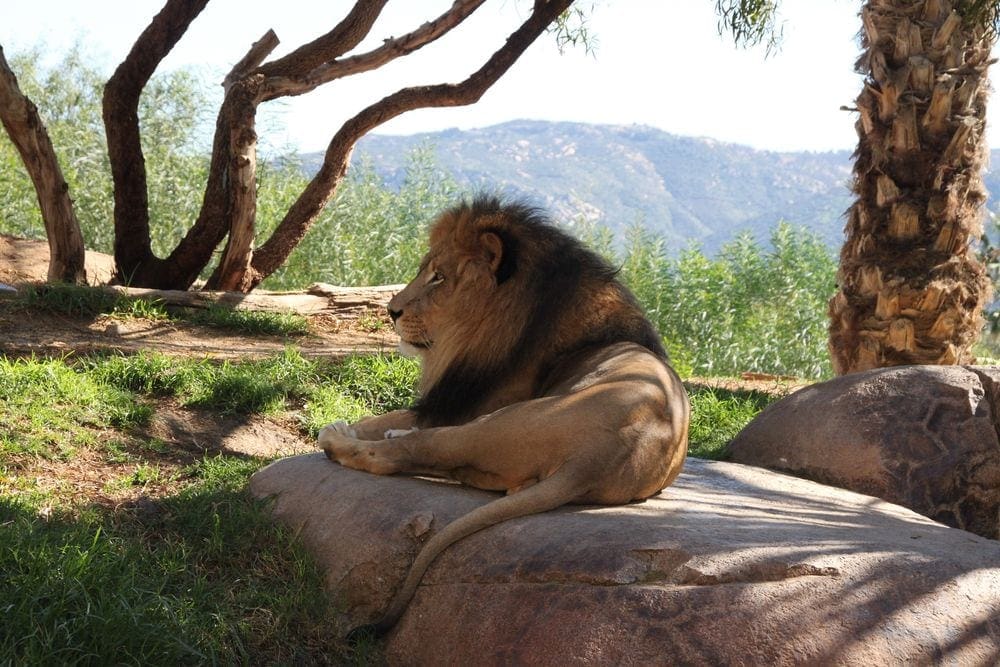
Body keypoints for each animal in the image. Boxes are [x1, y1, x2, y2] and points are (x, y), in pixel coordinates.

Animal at [318, 196, 688, 636]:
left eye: (438, 277)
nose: (391, 311)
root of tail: (595, 460)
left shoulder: (468, 405)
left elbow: (385, 419)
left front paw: (350, 427)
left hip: (490, 424)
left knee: (402, 454)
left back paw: (338, 439)